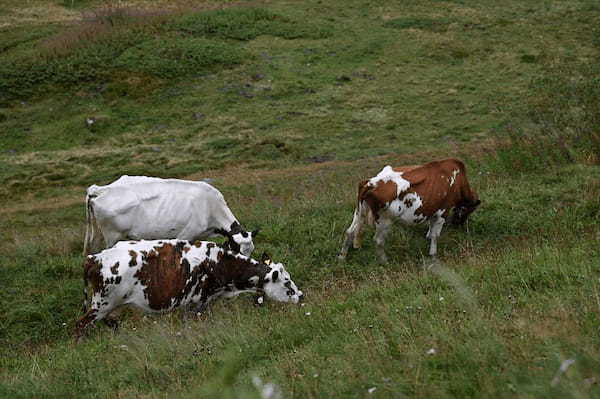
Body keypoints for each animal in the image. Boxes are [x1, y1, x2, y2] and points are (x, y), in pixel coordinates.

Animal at [74, 241, 304, 340]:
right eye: (286, 283)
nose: (301, 297)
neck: (219, 261)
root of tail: (95, 257)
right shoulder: (197, 301)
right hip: (102, 304)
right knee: (79, 325)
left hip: (105, 305)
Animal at [340, 158, 480, 264]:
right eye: (468, 210)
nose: (457, 224)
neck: (458, 180)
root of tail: (370, 183)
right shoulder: (442, 212)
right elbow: (436, 235)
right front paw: (433, 254)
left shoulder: (432, 207)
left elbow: (431, 227)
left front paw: (428, 236)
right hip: (385, 220)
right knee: (378, 240)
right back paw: (384, 261)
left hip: (359, 213)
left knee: (349, 232)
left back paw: (342, 257)